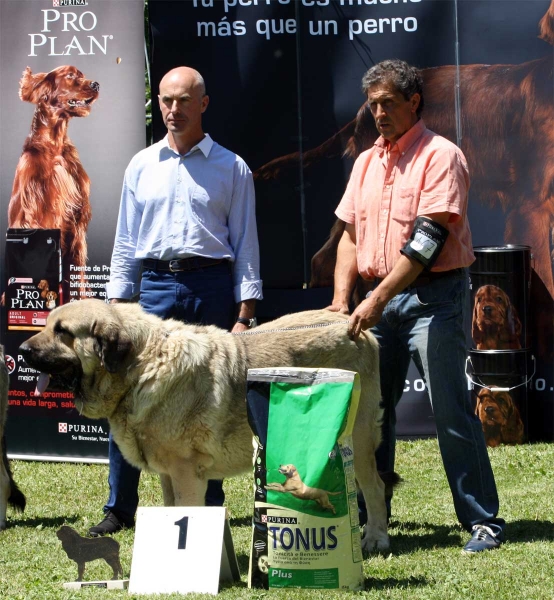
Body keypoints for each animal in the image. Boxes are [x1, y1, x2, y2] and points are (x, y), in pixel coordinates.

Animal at [18, 302, 388, 552]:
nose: (20, 350)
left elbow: (186, 511)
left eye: (62, 331)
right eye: (47, 324)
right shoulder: (168, 473)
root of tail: (358, 328)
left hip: (357, 438)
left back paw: (374, 538)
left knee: (375, 487)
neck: (141, 365)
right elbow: (170, 510)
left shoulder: (185, 470)